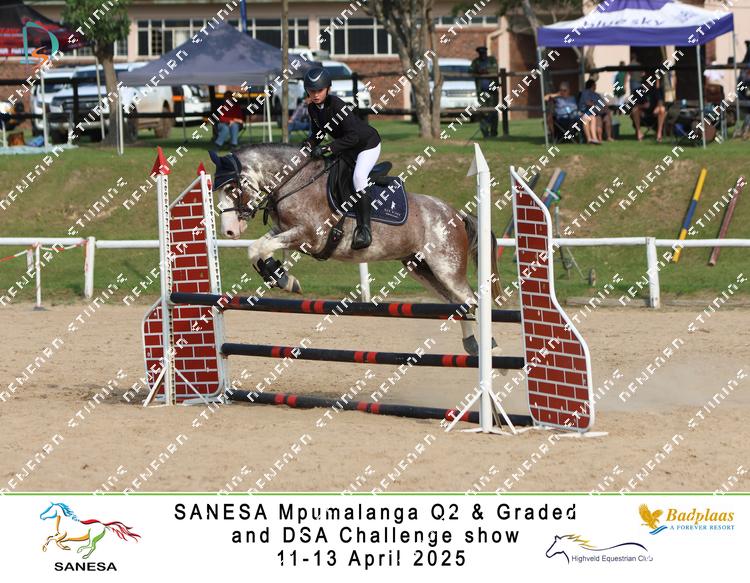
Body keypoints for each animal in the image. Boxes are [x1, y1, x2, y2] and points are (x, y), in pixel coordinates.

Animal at [211, 143, 503, 355]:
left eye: (232, 187)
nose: (229, 232)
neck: (295, 182)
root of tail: (456, 213)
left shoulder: (309, 235)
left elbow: (260, 248)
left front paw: (283, 278)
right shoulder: (285, 231)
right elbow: (257, 248)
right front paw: (281, 277)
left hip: (446, 267)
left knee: (471, 300)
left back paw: (491, 349)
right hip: (421, 267)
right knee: (458, 304)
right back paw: (472, 346)